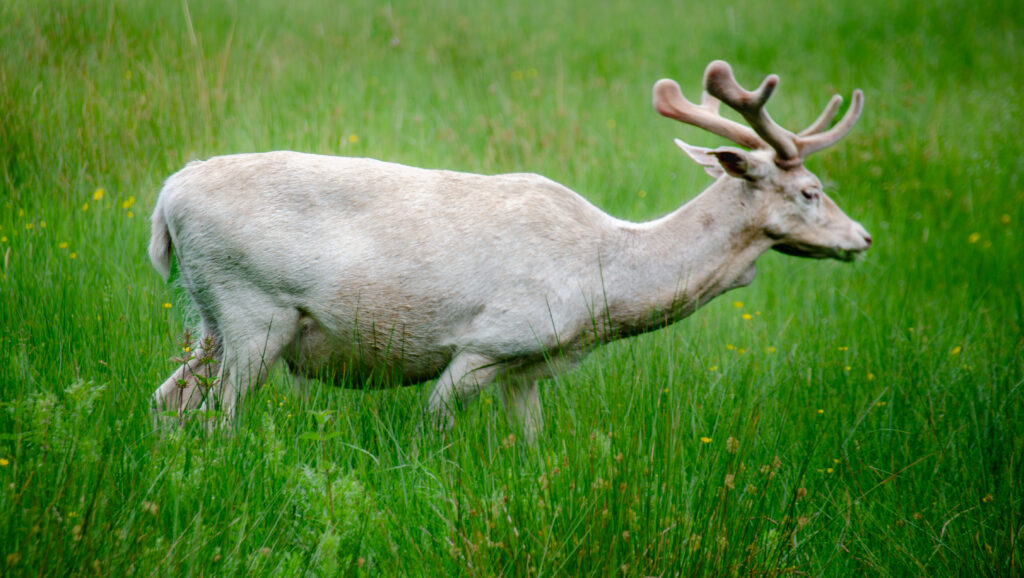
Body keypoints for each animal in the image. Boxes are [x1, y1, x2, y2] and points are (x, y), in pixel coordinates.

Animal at [149, 60, 871, 441]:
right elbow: (430, 432)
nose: (862, 238)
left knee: (166, 401)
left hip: (210, 319)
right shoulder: (489, 342)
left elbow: (533, 446)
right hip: (254, 312)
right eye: (810, 191)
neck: (607, 283)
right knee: (217, 418)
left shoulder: (528, 365)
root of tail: (165, 200)